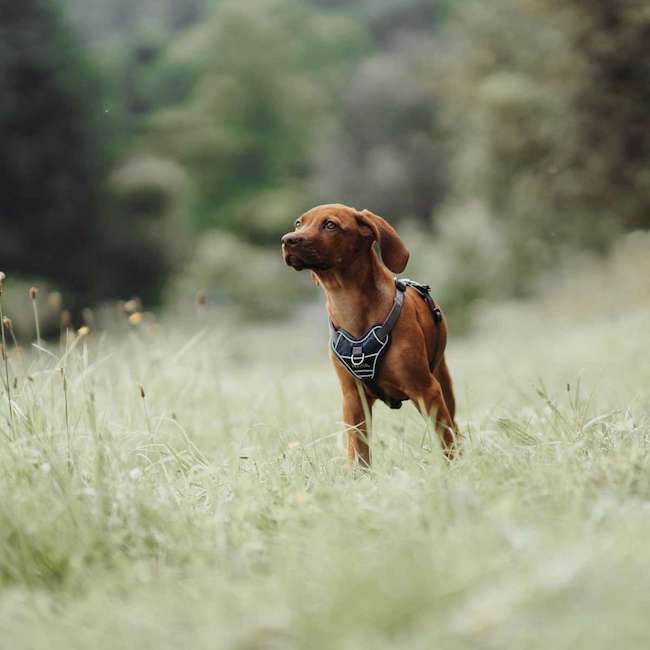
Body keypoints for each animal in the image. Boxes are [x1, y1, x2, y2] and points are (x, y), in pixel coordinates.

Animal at [280, 202, 456, 460]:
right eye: (298, 223)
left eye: (330, 225)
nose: (287, 240)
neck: (349, 307)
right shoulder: (353, 400)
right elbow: (358, 455)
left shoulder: (427, 390)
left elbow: (447, 445)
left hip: (442, 383)